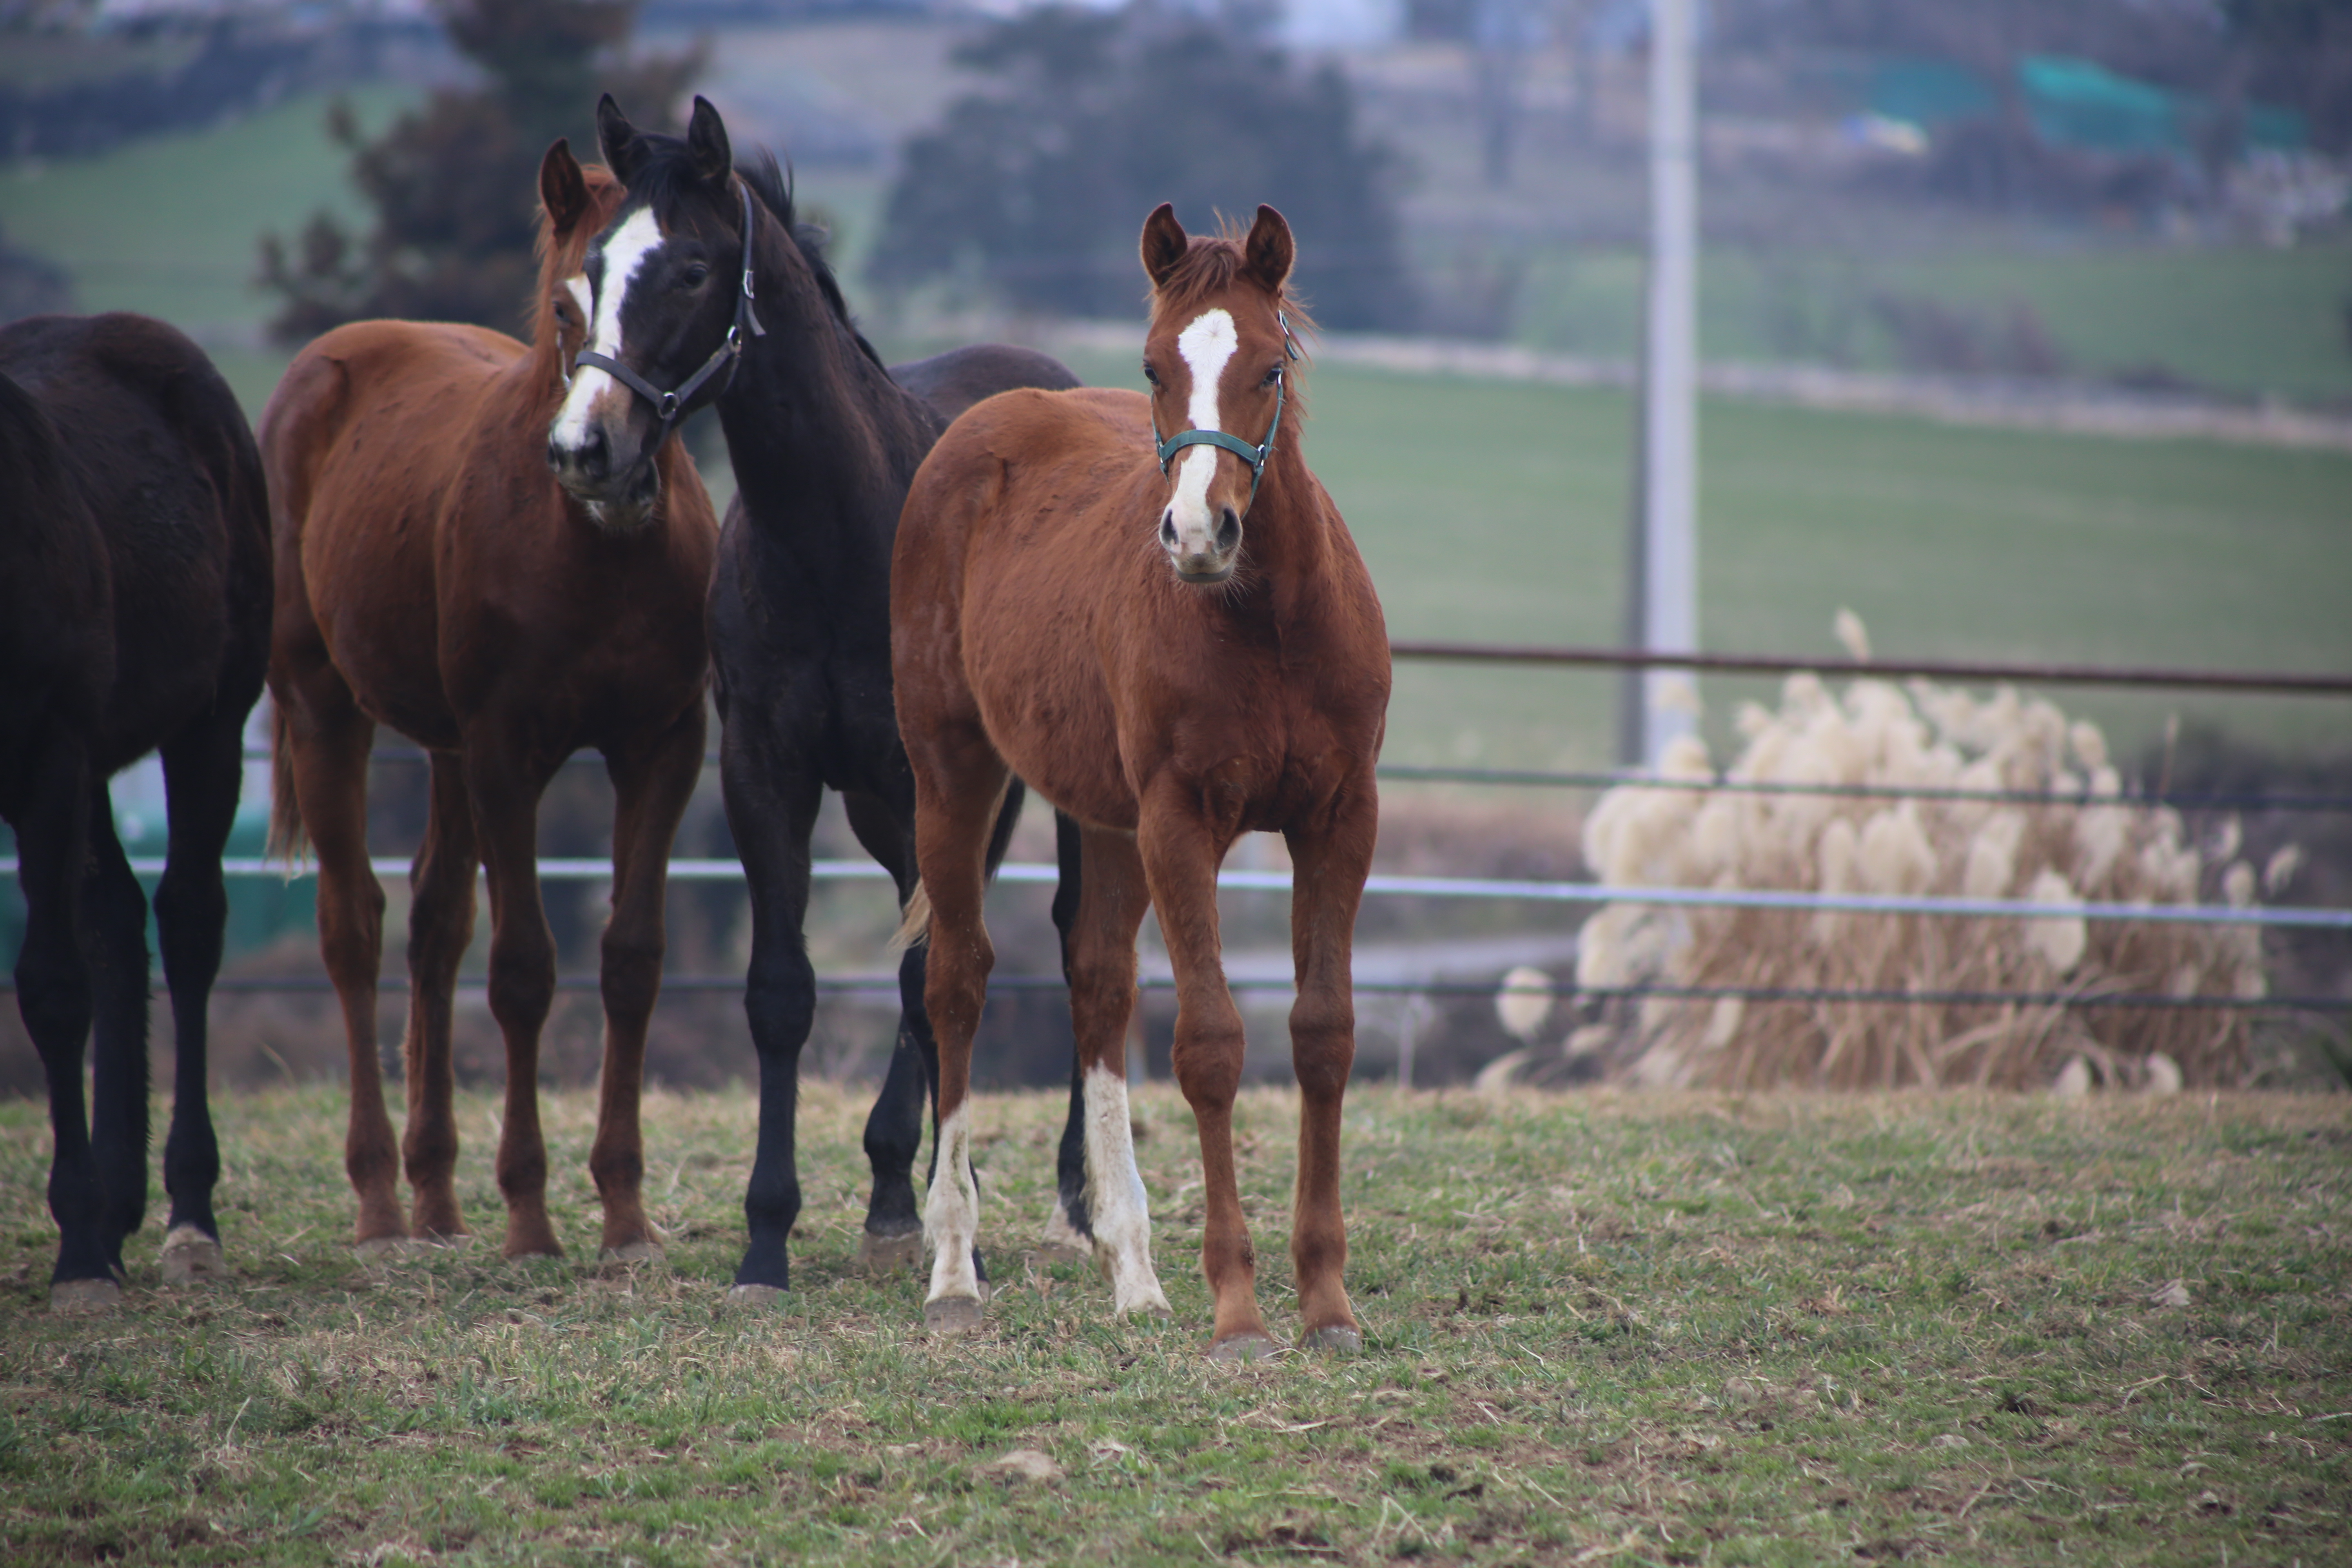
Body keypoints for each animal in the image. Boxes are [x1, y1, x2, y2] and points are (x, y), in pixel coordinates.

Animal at [1, 312, 273, 1307]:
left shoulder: (48, 752)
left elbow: (52, 986)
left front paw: (80, 1254)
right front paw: (87, 1226)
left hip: (208, 724)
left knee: (187, 926)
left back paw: (185, 1216)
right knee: (116, 920)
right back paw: (117, 1203)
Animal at [260, 138, 715, 1260]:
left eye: (687, 282)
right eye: (564, 303)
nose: (593, 457)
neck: (593, 552)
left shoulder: (664, 747)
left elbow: (630, 958)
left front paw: (626, 1214)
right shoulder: (509, 752)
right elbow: (522, 971)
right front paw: (531, 1215)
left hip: (446, 751)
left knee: (433, 923)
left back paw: (435, 1196)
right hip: (326, 708)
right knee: (355, 927)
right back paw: (382, 1201)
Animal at [550, 95, 1091, 1297]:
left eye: (691, 269)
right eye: (588, 270)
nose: (584, 448)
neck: (848, 531)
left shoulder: (932, 779)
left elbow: (938, 976)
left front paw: (952, 1223)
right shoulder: (770, 772)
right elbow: (785, 991)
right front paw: (772, 1237)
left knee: (1080, 938)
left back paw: (1073, 1201)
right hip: (893, 809)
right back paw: (900, 1181)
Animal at [889, 205, 1383, 1363]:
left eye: (1269, 365)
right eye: (1156, 366)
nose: (1198, 533)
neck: (1269, 625)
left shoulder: (1342, 818)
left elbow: (1321, 1034)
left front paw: (1326, 1303)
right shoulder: (1180, 822)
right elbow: (1209, 1045)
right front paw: (1239, 1311)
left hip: (1101, 814)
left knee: (1098, 980)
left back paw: (1134, 1273)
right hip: (954, 769)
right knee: (957, 978)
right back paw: (953, 1269)